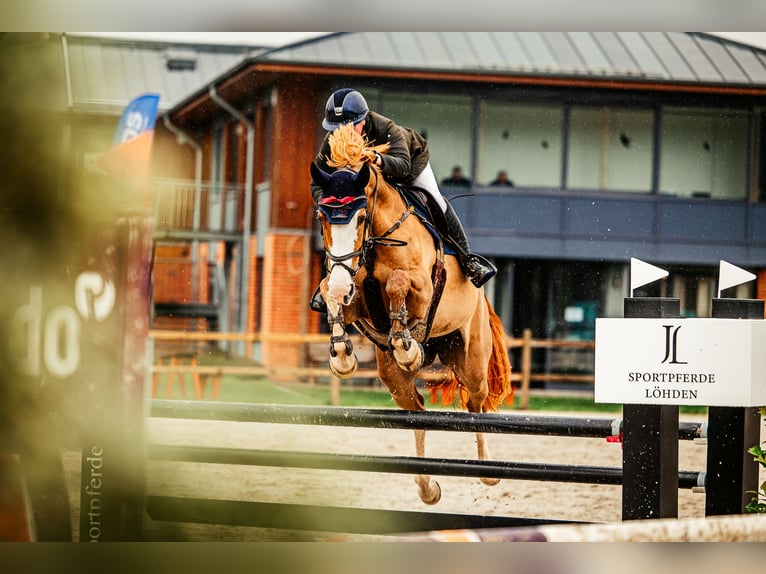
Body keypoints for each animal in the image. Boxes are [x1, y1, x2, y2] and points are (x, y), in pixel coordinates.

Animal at [308, 125, 512, 504]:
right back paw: (427, 486)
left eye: (360, 217)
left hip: (472, 361)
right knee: (417, 413)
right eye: (321, 218)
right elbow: (330, 289)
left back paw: (488, 472)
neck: (375, 242)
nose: (344, 284)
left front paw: (405, 343)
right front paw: (342, 355)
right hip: (392, 376)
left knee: (475, 406)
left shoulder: (423, 287)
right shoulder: (355, 295)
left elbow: (398, 283)